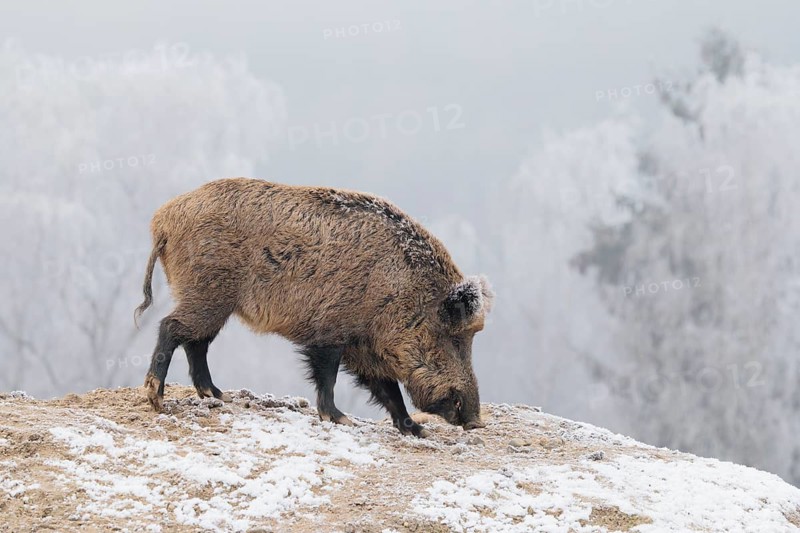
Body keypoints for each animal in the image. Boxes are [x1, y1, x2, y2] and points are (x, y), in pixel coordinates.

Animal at [135, 178, 493, 437]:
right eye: (455, 338)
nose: (476, 421)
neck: (396, 292)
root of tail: (162, 220)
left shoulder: (364, 348)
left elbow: (388, 389)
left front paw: (417, 431)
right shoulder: (331, 332)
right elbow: (328, 377)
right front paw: (339, 419)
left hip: (214, 302)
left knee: (197, 343)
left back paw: (217, 395)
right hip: (208, 294)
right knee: (171, 327)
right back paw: (157, 398)